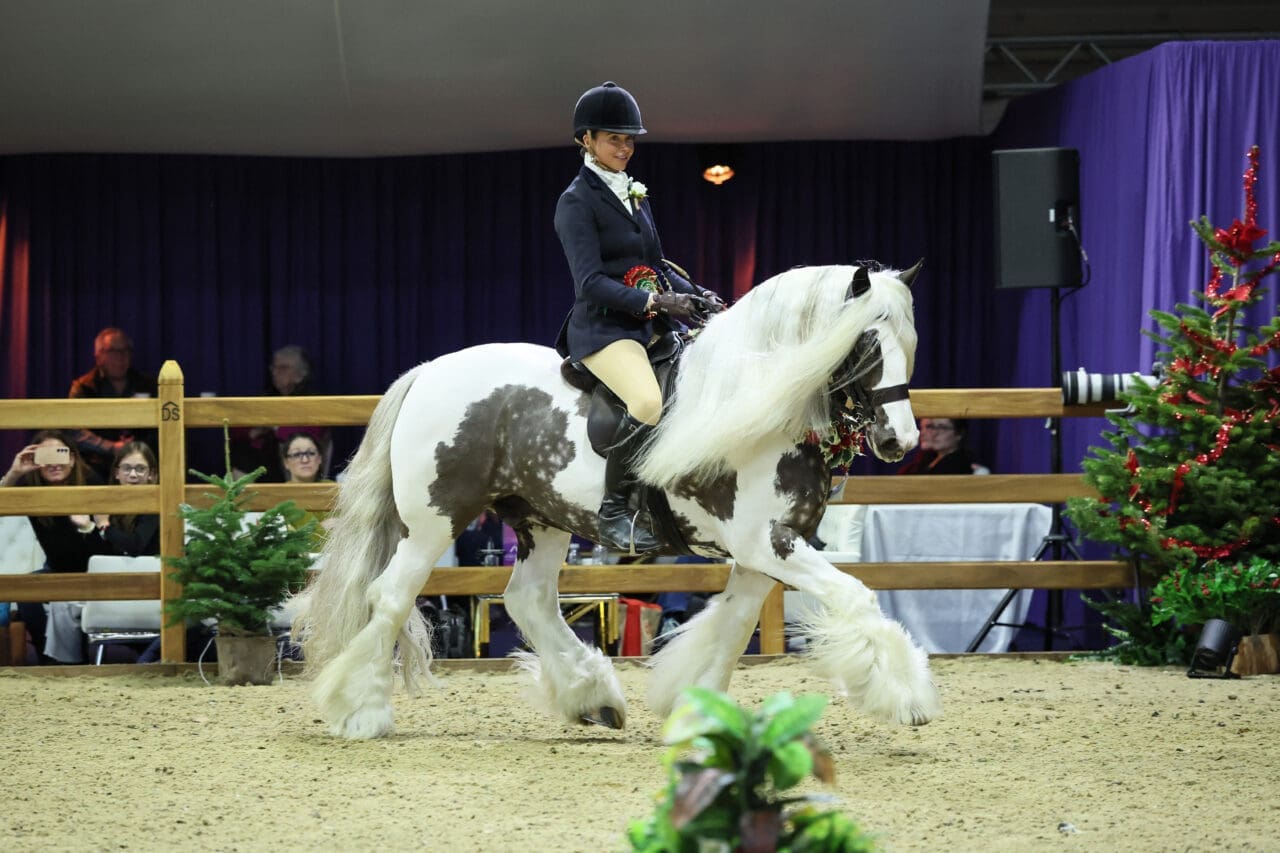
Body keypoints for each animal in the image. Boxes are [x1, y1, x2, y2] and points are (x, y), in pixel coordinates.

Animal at [292, 262, 941, 739]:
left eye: (908, 343)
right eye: (865, 343)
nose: (900, 441)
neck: (758, 405)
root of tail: (427, 372)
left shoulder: (765, 552)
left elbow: (732, 627)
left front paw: (693, 709)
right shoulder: (767, 542)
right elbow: (856, 596)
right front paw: (905, 697)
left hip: (540, 518)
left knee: (528, 600)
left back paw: (591, 698)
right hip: (433, 521)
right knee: (390, 595)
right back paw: (361, 712)